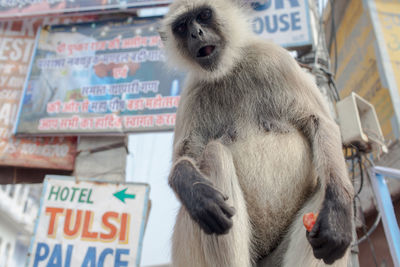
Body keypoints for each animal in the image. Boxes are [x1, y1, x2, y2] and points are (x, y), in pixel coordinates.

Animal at [159, 1, 354, 266]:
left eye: (204, 15)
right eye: (181, 26)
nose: (195, 33)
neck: (229, 69)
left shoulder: (274, 58)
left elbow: (321, 122)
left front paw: (337, 215)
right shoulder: (192, 91)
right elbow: (185, 157)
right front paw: (194, 191)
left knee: (326, 184)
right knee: (214, 154)